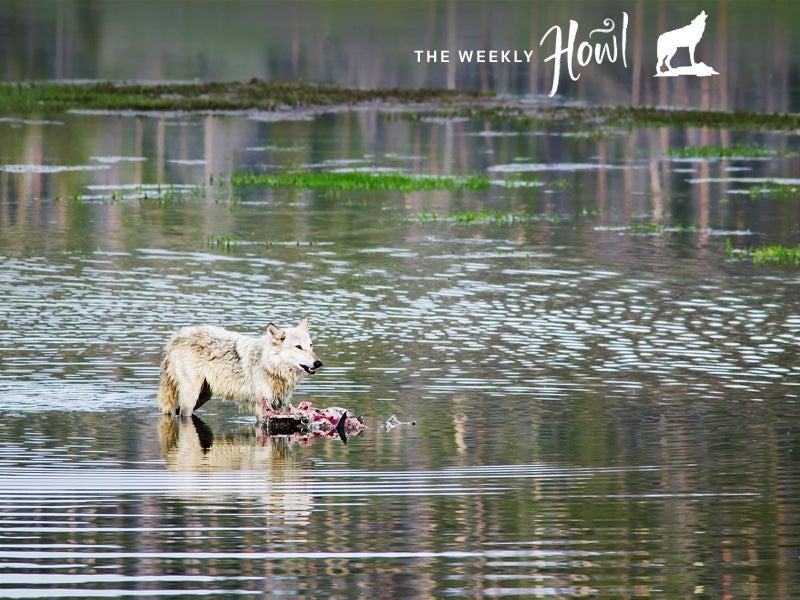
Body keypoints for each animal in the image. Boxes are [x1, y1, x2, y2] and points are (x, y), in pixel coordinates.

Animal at [158, 318, 324, 422]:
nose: (318, 363)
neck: (271, 366)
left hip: (203, 395)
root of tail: (176, 337)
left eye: (311, 346)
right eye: (298, 347)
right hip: (191, 397)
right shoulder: (262, 408)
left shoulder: (281, 406)